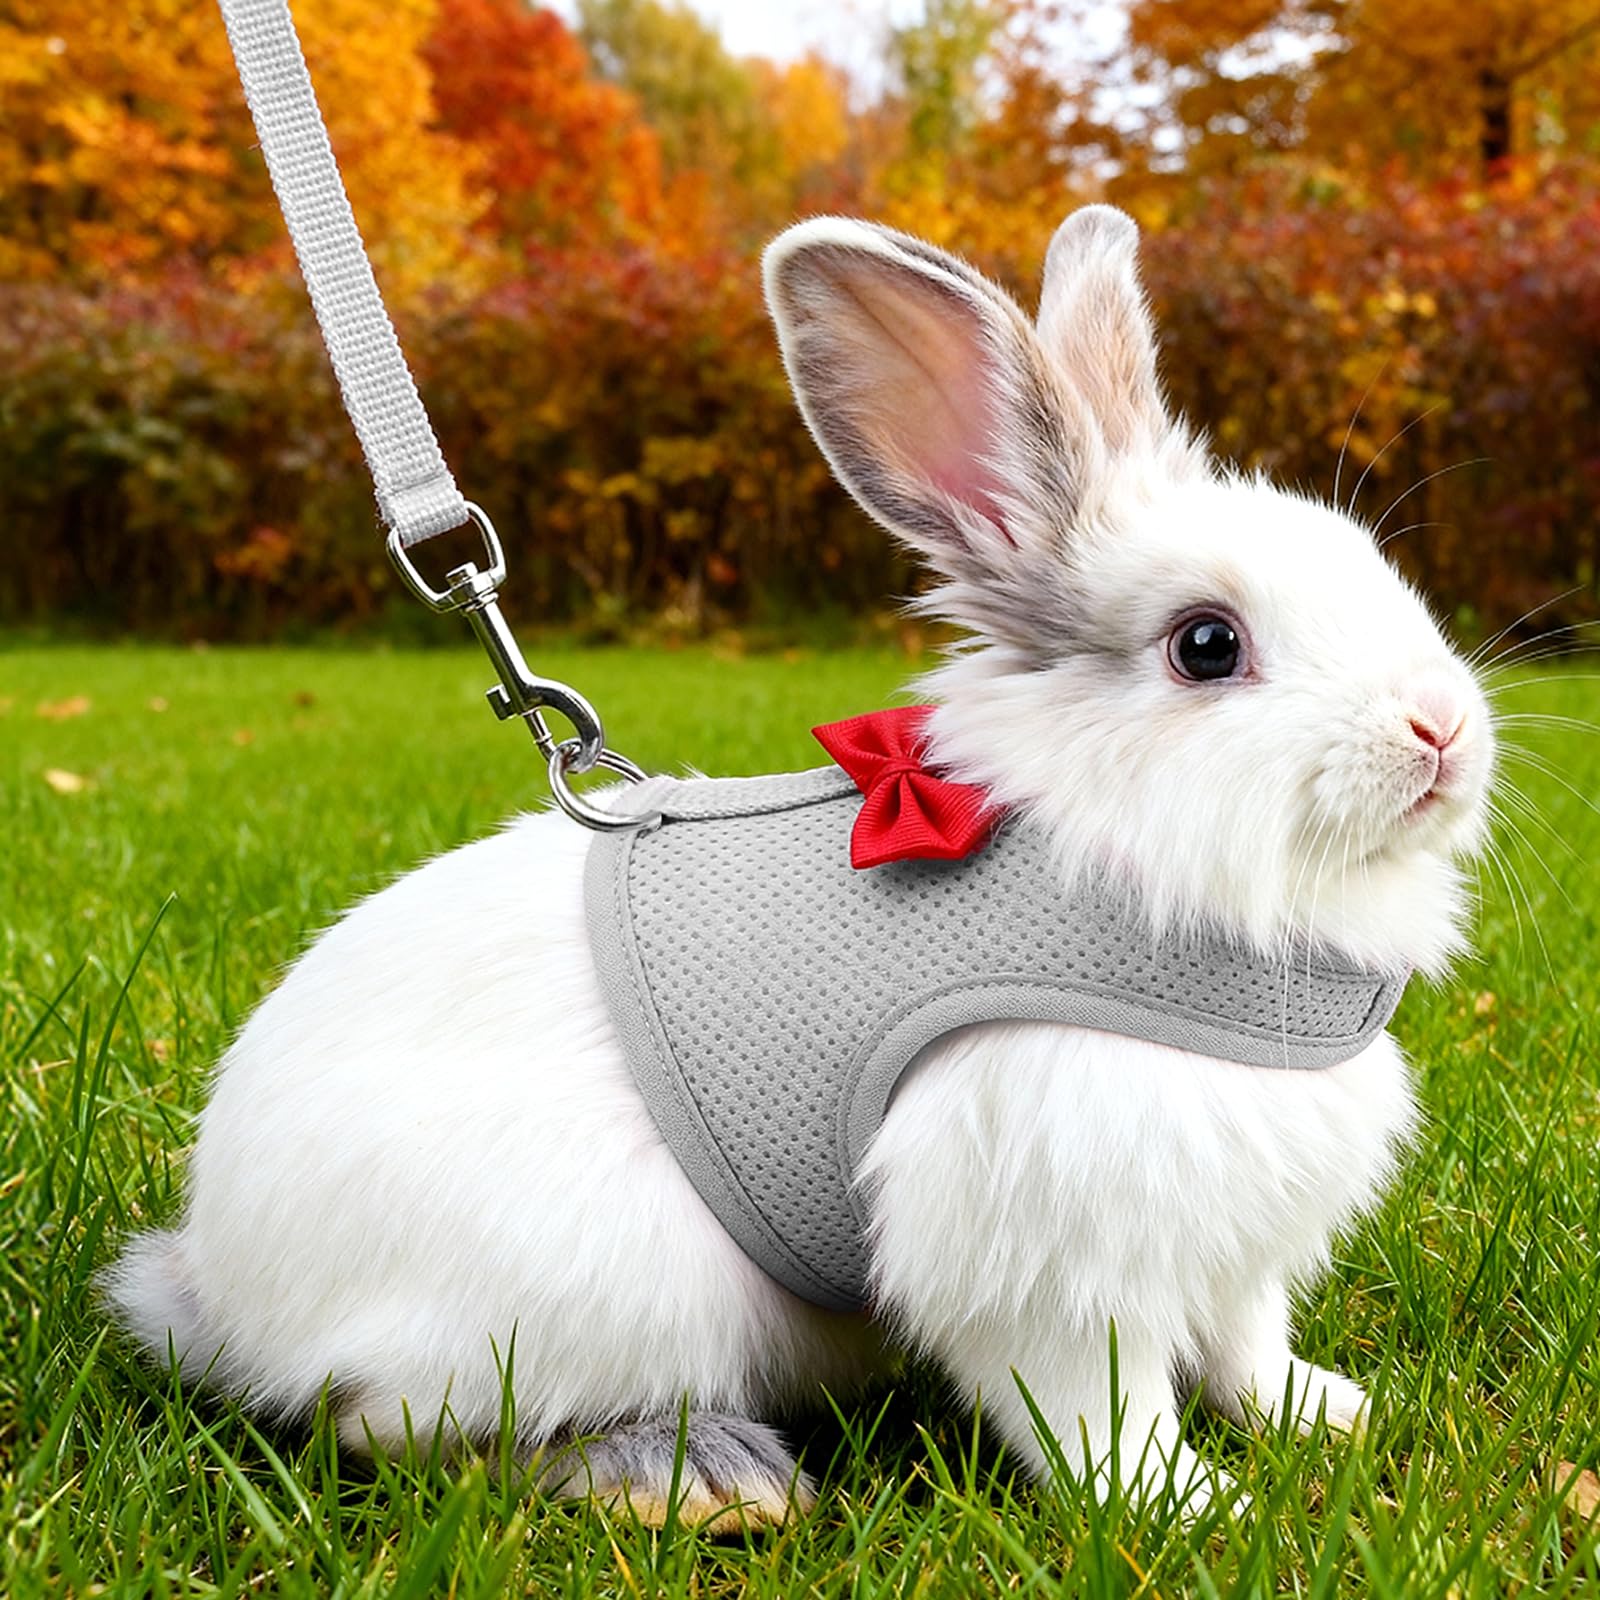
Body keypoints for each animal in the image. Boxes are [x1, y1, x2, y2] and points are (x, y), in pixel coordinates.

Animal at [105, 205, 1494, 1524]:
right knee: (395, 1431)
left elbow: (1247, 1343)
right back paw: (699, 1479)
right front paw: (1181, 1503)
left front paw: (1324, 1413)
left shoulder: (1239, 1237)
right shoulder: (1045, 1246)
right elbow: (1094, 1407)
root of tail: (222, 1293)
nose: (1441, 731)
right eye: (1207, 645)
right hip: (594, 1296)